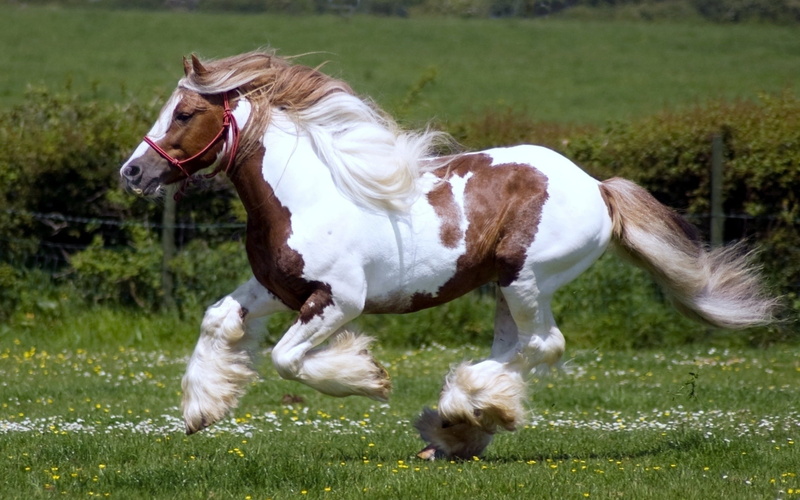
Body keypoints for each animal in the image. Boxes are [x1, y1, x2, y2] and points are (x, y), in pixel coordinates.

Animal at [119, 50, 776, 460]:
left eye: (185, 112)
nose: (132, 172)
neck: (305, 193)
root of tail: (597, 188)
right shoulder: (274, 288)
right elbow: (217, 320)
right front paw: (202, 410)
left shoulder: (339, 301)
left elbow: (286, 360)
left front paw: (368, 378)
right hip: (507, 289)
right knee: (519, 348)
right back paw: (458, 427)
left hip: (526, 279)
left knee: (544, 345)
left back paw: (461, 412)